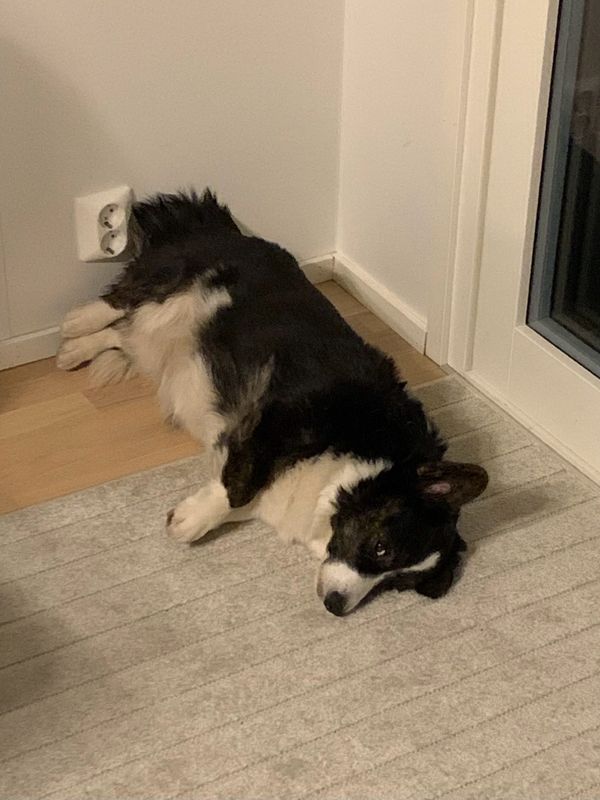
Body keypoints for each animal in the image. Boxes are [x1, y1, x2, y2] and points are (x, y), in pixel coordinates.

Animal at [57, 190, 488, 615]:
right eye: (382, 548)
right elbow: (238, 485)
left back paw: (76, 350)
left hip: (158, 337)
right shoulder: (277, 414)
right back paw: (76, 323)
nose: (336, 606)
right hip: (178, 281)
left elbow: (241, 490)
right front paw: (189, 521)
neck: (365, 462)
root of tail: (230, 230)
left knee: (123, 334)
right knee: (127, 299)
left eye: (396, 583)